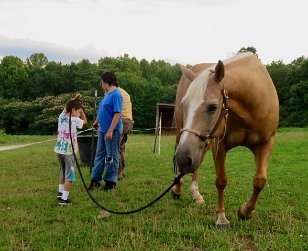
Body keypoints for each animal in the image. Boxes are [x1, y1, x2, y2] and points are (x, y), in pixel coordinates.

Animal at [172, 53, 280, 229]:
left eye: (213, 107)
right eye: (184, 105)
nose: (183, 159)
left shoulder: (266, 144)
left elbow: (260, 181)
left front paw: (245, 212)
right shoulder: (219, 145)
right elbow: (221, 181)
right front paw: (222, 218)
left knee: (197, 164)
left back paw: (196, 194)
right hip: (184, 136)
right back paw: (177, 189)